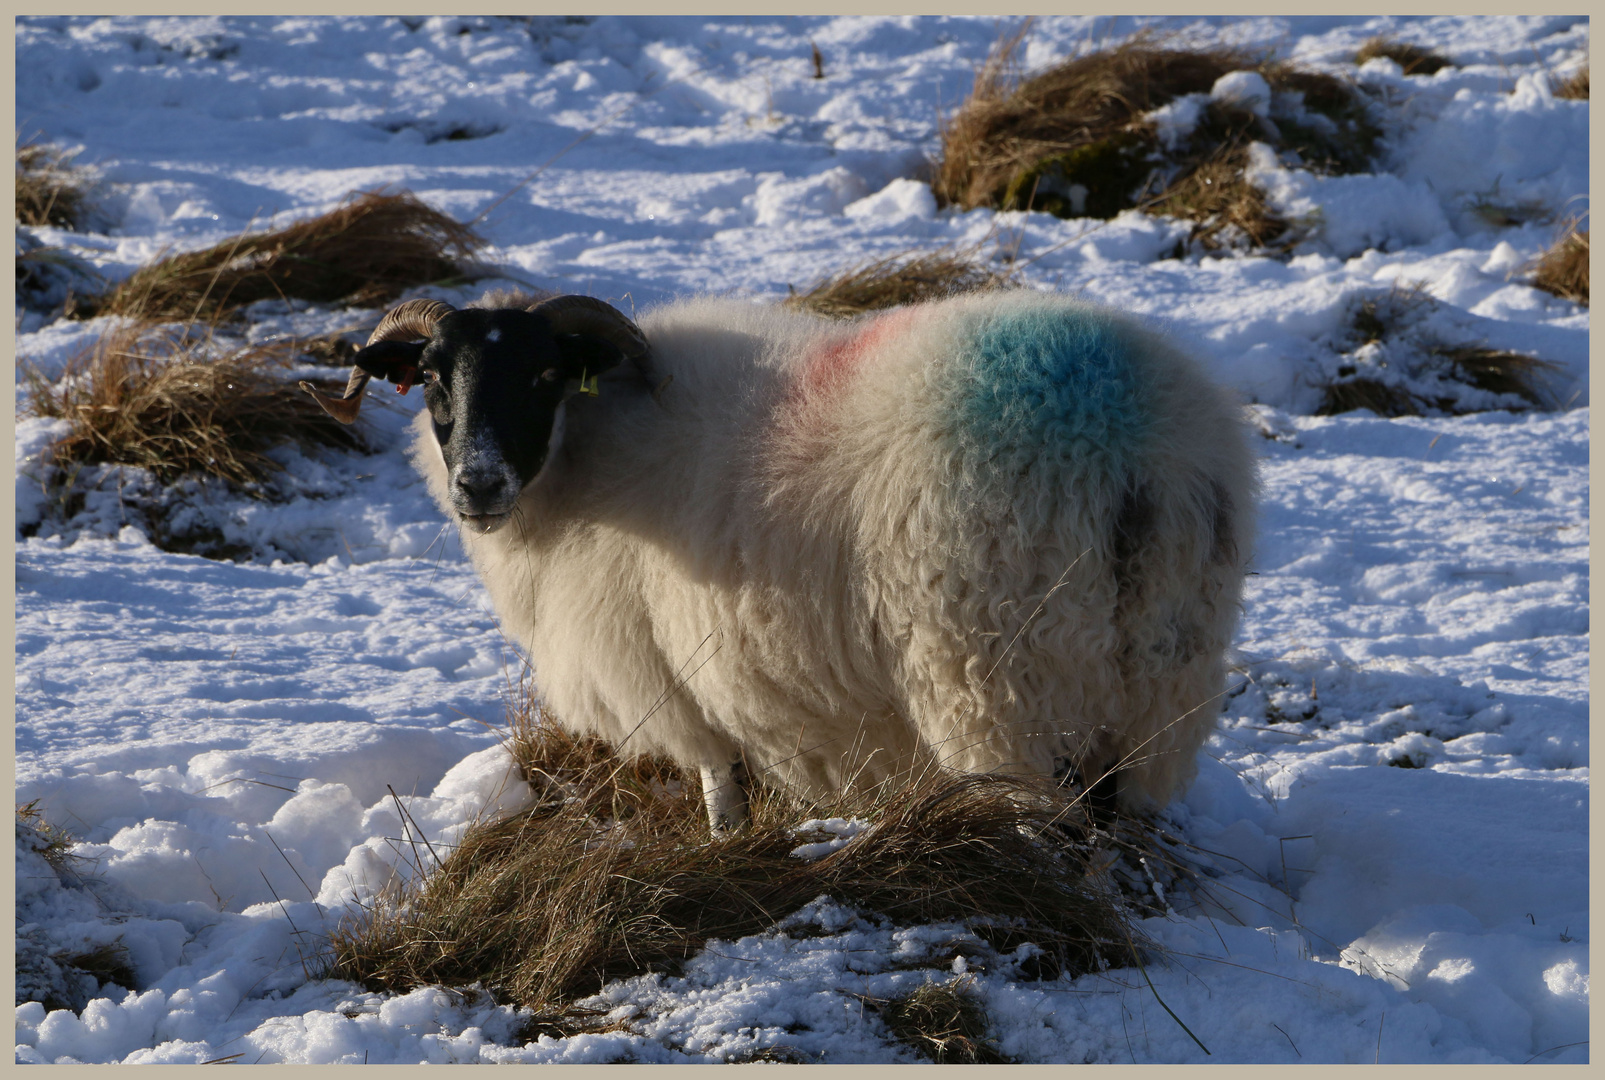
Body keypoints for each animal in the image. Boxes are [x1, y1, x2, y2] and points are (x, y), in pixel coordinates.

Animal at [301, 285, 1251, 828]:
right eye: (431, 376)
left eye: (543, 377)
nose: (478, 484)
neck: (582, 452)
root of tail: (1129, 446)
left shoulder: (669, 677)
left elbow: (719, 796)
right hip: (1157, 669)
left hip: (1005, 669)